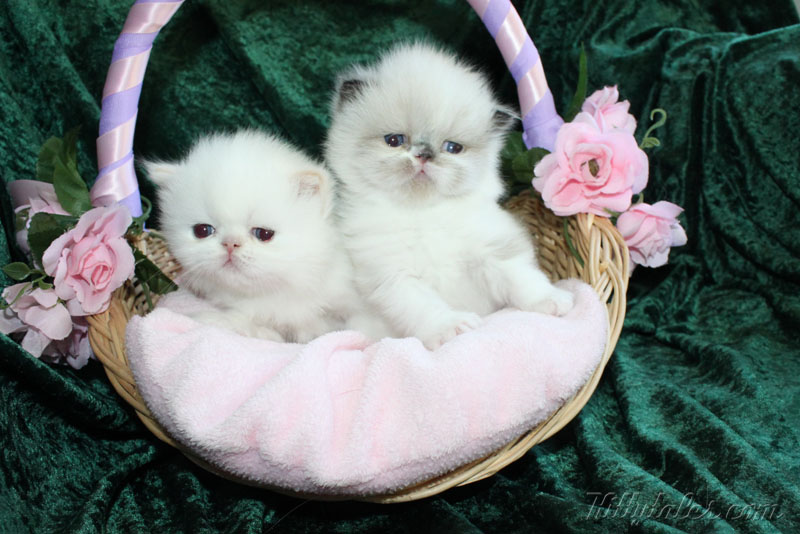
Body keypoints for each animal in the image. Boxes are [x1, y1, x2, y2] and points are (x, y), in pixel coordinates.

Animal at [324, 43, 574, 350]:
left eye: (452, 147)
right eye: (394, 141)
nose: (424, 155)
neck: (424, 214)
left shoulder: (493, 250)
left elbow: (522, 278)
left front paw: (551, 300)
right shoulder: (394, 276)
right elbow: (426, 306)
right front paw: (453, 327)